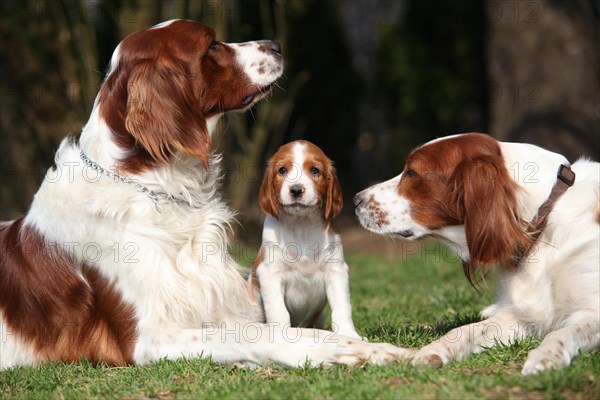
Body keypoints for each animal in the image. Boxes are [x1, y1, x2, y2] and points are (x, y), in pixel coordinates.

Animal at [248, 141, 360, 338]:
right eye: (282, 170)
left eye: (315, 170)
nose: (296, 190)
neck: (302, 225)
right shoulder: (271, 272)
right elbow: (278, 310)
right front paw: (280, 333)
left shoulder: (336, 270)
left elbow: (342, 307)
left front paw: (349, 335)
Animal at [354, 133, 596, 374]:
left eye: (411, 172)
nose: (356, 199)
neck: (544, 221)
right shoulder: (520, 316)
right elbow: (464, 330)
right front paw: (432, 350)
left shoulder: (591, 314)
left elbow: (561, 333)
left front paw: (546, 357)